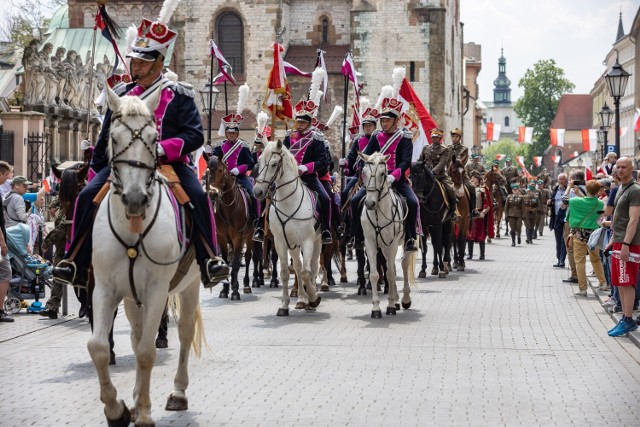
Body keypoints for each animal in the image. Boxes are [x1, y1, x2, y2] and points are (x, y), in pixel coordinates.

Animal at [86, 85, 204, 426]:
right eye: (113, 138)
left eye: (154, 139)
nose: (136, 198)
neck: (132, 228)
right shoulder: (105, 289)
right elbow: (99, 347)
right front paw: (117, 409)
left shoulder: (156, 291)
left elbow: (148, 352)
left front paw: (145, 413)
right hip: (131, 297)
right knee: (137, 335)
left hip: (190, 286)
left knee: (184, 332)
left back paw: (177, 394)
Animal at [209, 155, 262, 300]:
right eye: (208, 171)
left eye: (220, 170)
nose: (213, 194)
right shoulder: (221, 238)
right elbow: (227, 263)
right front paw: (225, 289)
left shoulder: (238, 238)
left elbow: (237, 265)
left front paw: (235, 291)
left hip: (249, 236)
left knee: (249, 257)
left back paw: (248, 283)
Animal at [254, 139, 322, 316]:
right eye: (259, 162)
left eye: (274, 164)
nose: (257, 191)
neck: (289, 203)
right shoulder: (280, 242)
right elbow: (286, 272)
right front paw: (284, 305)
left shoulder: (307, 240)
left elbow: (306, 272)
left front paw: (314, 298)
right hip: (293, 244)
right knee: (297, 266)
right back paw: (301, 299)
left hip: (318, 241)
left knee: (312, 266)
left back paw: (311, 297)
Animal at [358, 153, 418, 318]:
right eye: (363, 172)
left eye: (382, 174)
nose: (370, 203)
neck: (379, 212)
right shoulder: (371, 244)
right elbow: (374, 274)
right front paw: (376, 308)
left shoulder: (391, 244)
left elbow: (390, 274)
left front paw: (390, 305)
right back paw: (397, 300)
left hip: (403, 244)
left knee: (403, 266)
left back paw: (404, 299)